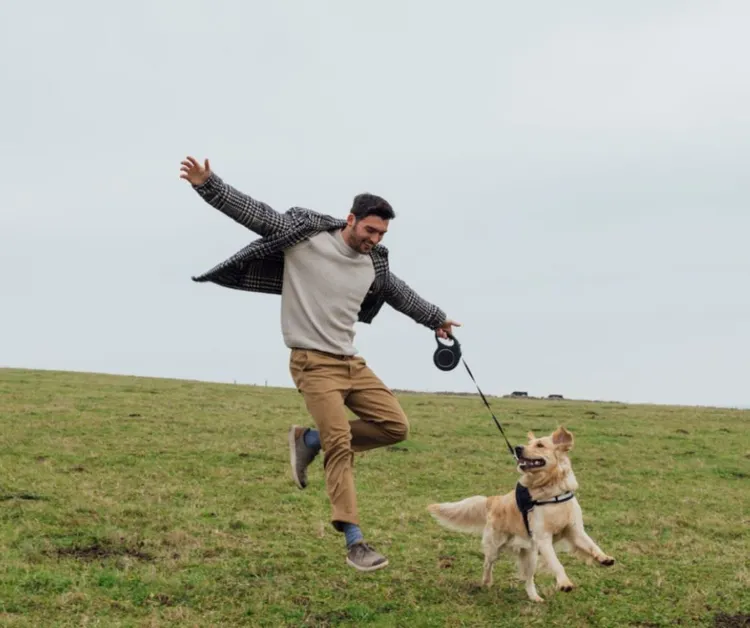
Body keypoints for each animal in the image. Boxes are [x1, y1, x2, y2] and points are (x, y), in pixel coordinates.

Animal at [428, 424, 616, 600]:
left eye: (540, 445)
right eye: (528, 444)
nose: (517, 448)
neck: (552, 491)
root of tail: (494, 499)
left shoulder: (575, 530)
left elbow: (591, 545)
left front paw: (604, 558)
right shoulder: (543, 538)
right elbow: (556, 563)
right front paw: (564, 583)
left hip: (531, 555)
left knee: (528, 579)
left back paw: (535, 598)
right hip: (495, 546)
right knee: (488, 564)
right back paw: (486, 582)